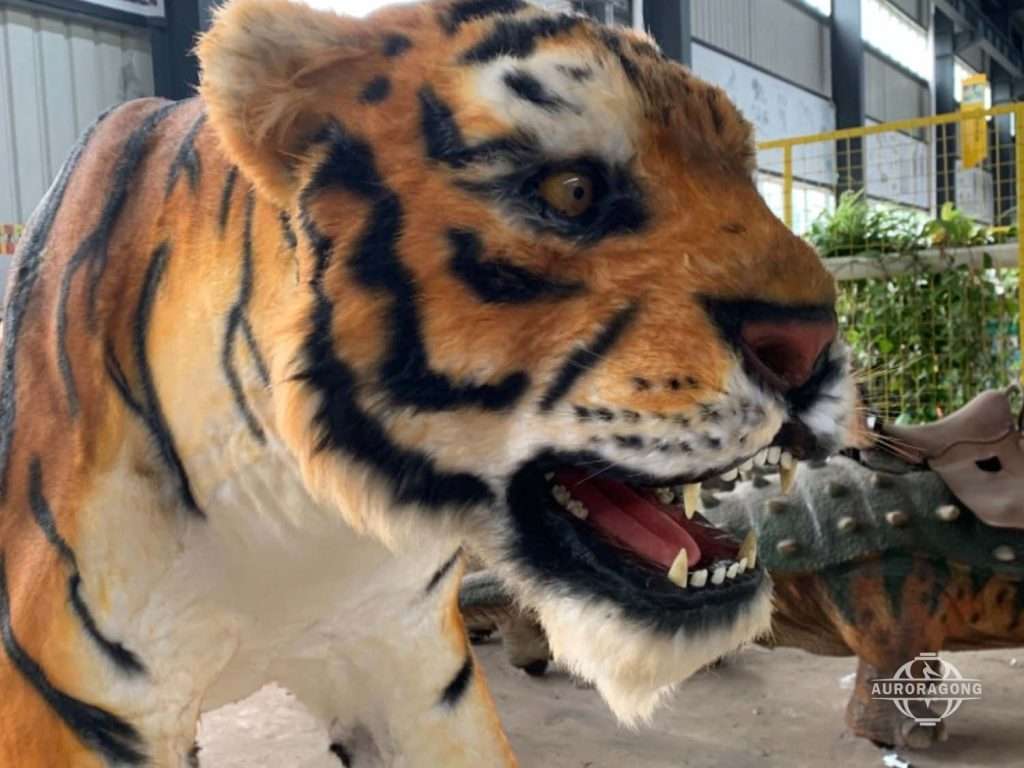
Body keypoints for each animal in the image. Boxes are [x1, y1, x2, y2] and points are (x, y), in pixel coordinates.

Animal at [0, 0, 856, 765]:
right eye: (572, 190)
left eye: (744, 172)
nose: (813, 343)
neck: (302, 524)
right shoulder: (68, 709)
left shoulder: (414, 671)